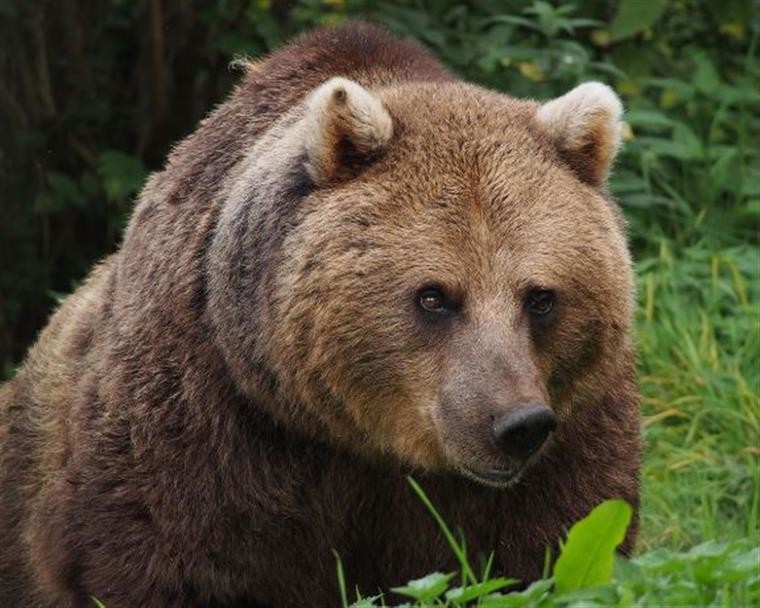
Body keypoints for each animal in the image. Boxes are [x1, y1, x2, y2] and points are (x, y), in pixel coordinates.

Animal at [0, 21, 640, 608]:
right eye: (433, 295)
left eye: (540, 296)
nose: (515, 424)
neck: (358, 440)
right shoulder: (206, 414)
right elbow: (167, 554)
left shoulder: (574, 424)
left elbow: (549, 548)